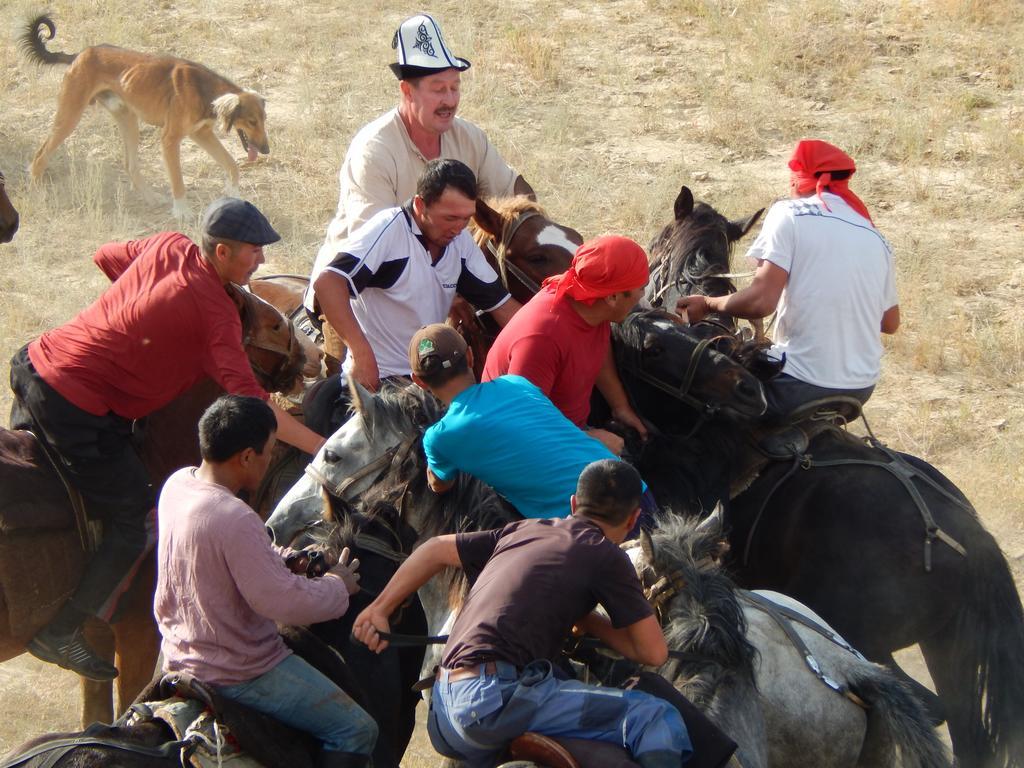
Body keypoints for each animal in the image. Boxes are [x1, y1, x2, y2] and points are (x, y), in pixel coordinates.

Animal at [22, 15, 270, 219]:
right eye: (252, 122)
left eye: (264, 120)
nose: (266, 150)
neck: (205, 90)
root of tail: (79, 54)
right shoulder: (170, 139)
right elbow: (178, 181)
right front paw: (182, 212)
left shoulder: (201, 133)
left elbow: (231, 165)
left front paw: (234, 194)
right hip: (70, 116)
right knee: (40, 156)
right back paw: (38, 194)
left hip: (127, 118)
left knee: (130, 165)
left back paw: (151, 198)